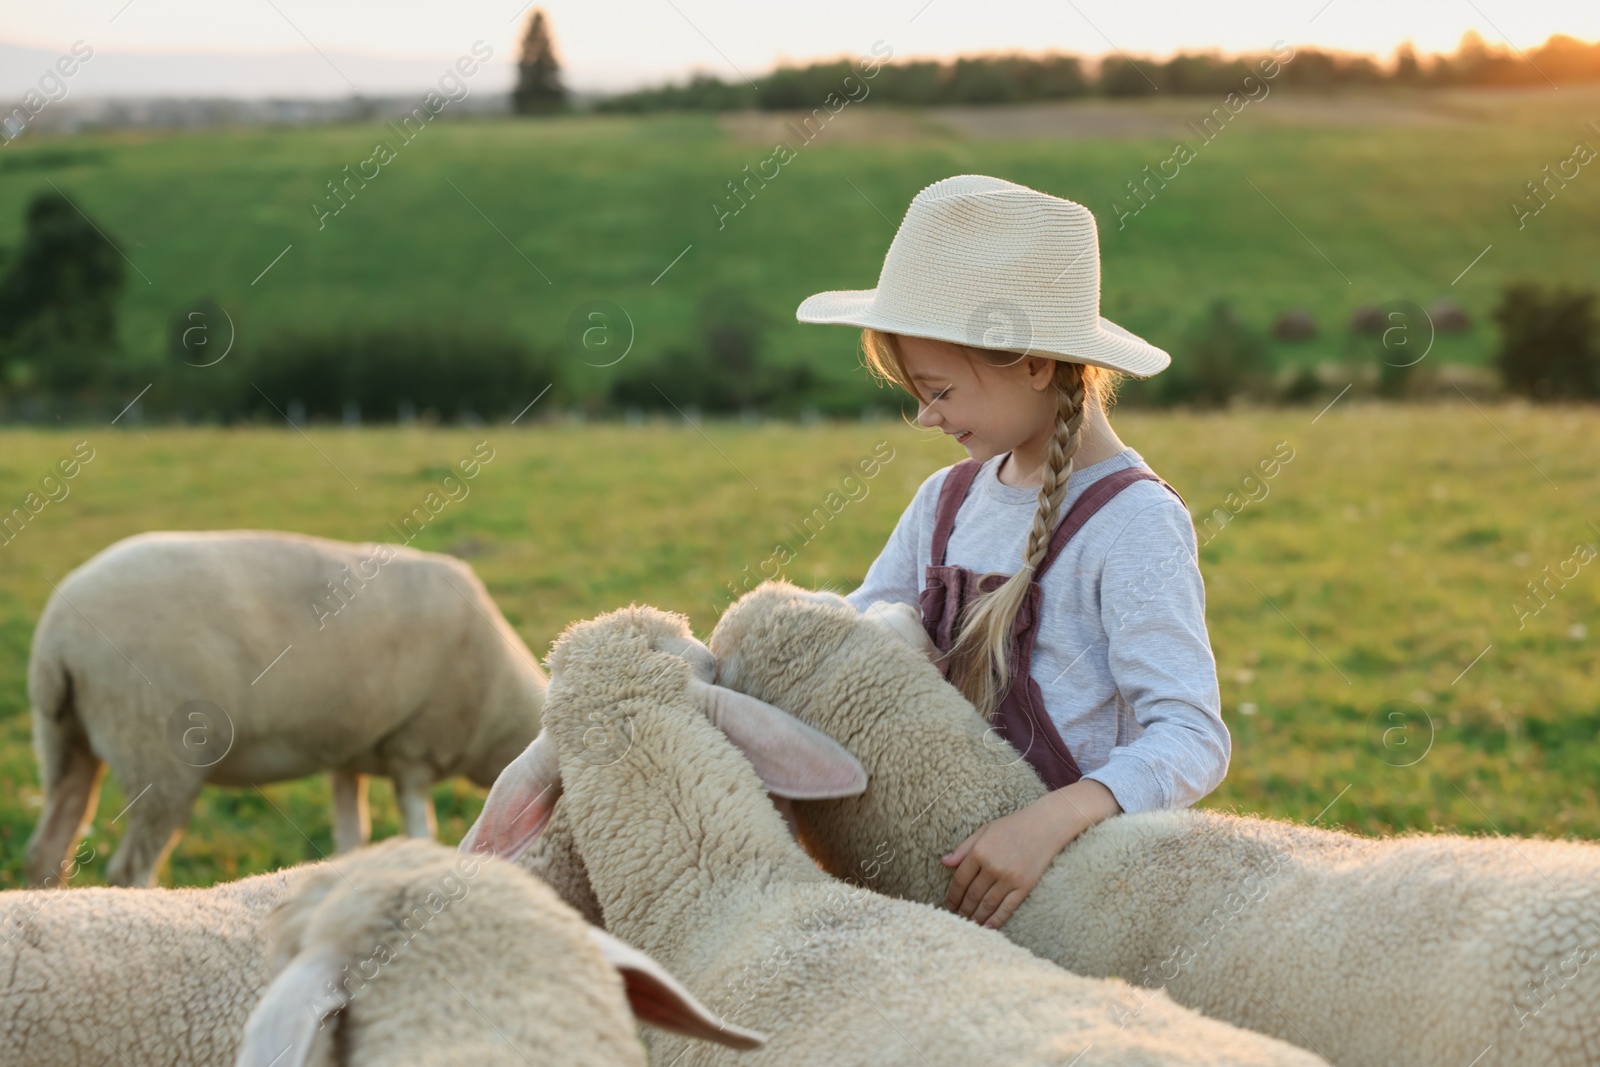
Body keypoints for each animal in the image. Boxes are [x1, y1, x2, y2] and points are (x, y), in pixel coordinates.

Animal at [23, 531, 550, 889]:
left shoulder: (349, 752)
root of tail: (58, 639)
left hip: (64, 738)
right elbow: (423, 834)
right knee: (129, 869)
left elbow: (353, 836)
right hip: (156, 753)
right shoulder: (416, 747)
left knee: (47, 849)